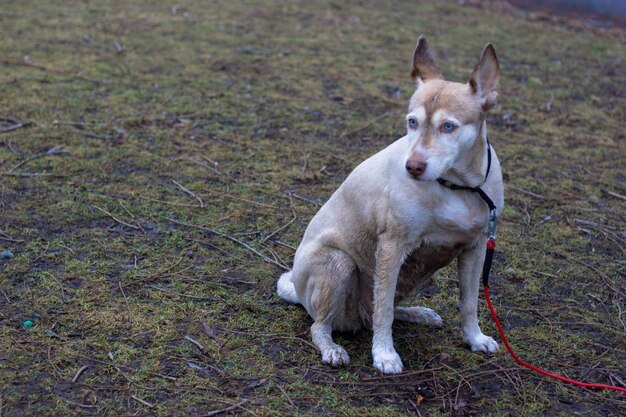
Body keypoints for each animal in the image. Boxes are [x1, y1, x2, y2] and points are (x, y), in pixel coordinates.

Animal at [278, 36, 502, 374]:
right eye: (412, 122)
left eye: (448, 127)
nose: (413, 166)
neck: (456, 186)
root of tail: (298, 292)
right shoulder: (392, 246)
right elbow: (383, 308)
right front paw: (384, 354)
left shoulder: (475, 249)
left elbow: (469, 303)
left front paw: (474, 338)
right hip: (339, 263)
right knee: (324, 325)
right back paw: (332, 348)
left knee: (378, 313)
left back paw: (417, 313)